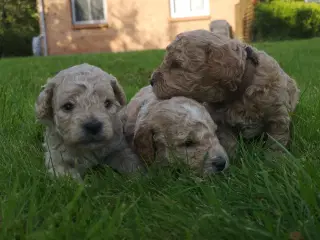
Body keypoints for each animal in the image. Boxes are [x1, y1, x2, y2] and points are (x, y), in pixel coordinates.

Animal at [150, 29, 300, 152]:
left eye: (176, 65)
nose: (151, 81)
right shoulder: (221, 122)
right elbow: (229, 142)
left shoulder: (277, 115)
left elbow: (276, 142)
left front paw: (275, 160)